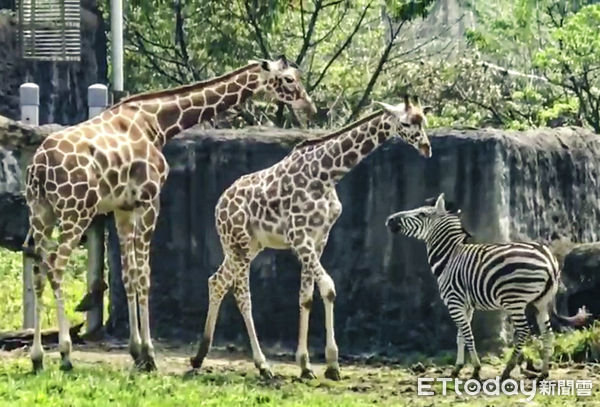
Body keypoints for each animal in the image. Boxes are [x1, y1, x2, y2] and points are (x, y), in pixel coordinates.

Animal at [22, 56, 314, 372]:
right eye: (288, 79)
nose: (309, 107)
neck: (157, 122)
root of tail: (38, 167)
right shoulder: (150, 201)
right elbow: (144, 275)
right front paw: (149, 355)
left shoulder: (123, 208)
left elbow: (128, 275)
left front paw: (136, 350)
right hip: (75, 212)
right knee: (55, 266)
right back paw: (65, 353)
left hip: (41, 213)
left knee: (37, 269)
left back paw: (37, 356)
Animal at [192, 95, 432, 380]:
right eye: (406, 123)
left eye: (423, 121)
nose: (427, 148)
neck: (326, 175)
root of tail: (219, 205)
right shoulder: (299, 236)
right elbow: (328, 288)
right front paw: (332, 364)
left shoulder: (319, 238)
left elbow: (306, 297)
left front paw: (306, 365)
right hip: (238, 245)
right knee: (242, 296)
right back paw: (262, 365)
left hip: (247, 246)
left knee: (216, 281)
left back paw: (199, 356)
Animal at [384, 193, 584, 380]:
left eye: (422, 214)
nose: (390, 219)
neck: (449, 257)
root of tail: (548, 259)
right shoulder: (466, 305)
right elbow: (460, 337)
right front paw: (457, 368)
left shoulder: (454, 301)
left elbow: (468, 335)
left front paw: (476, 369)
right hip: (541, 301)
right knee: (548, 334)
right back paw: (543, 373)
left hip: (515, 299)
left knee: (524, 331)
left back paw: (507, 370)